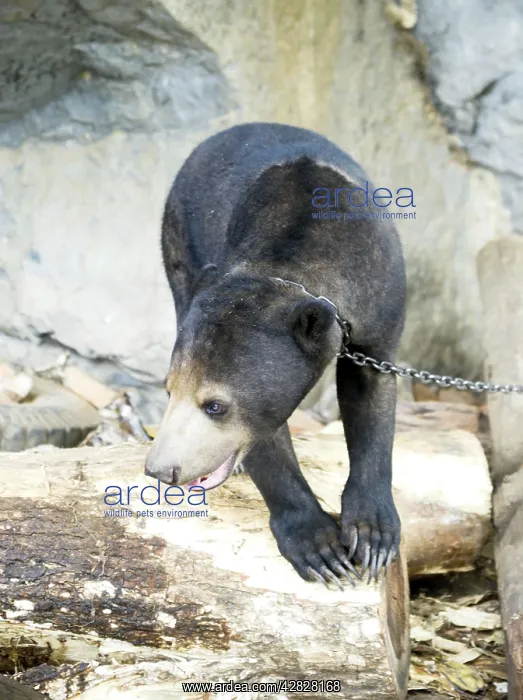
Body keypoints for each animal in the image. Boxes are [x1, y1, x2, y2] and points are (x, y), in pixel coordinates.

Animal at [145, 122, 407, 587]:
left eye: (215, 406)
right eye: (169, 391)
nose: (161, 470)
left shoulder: (381, 296)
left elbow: (372, 395)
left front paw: (373, 538)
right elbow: (264, 440)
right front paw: (321, 551)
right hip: (179, 244)